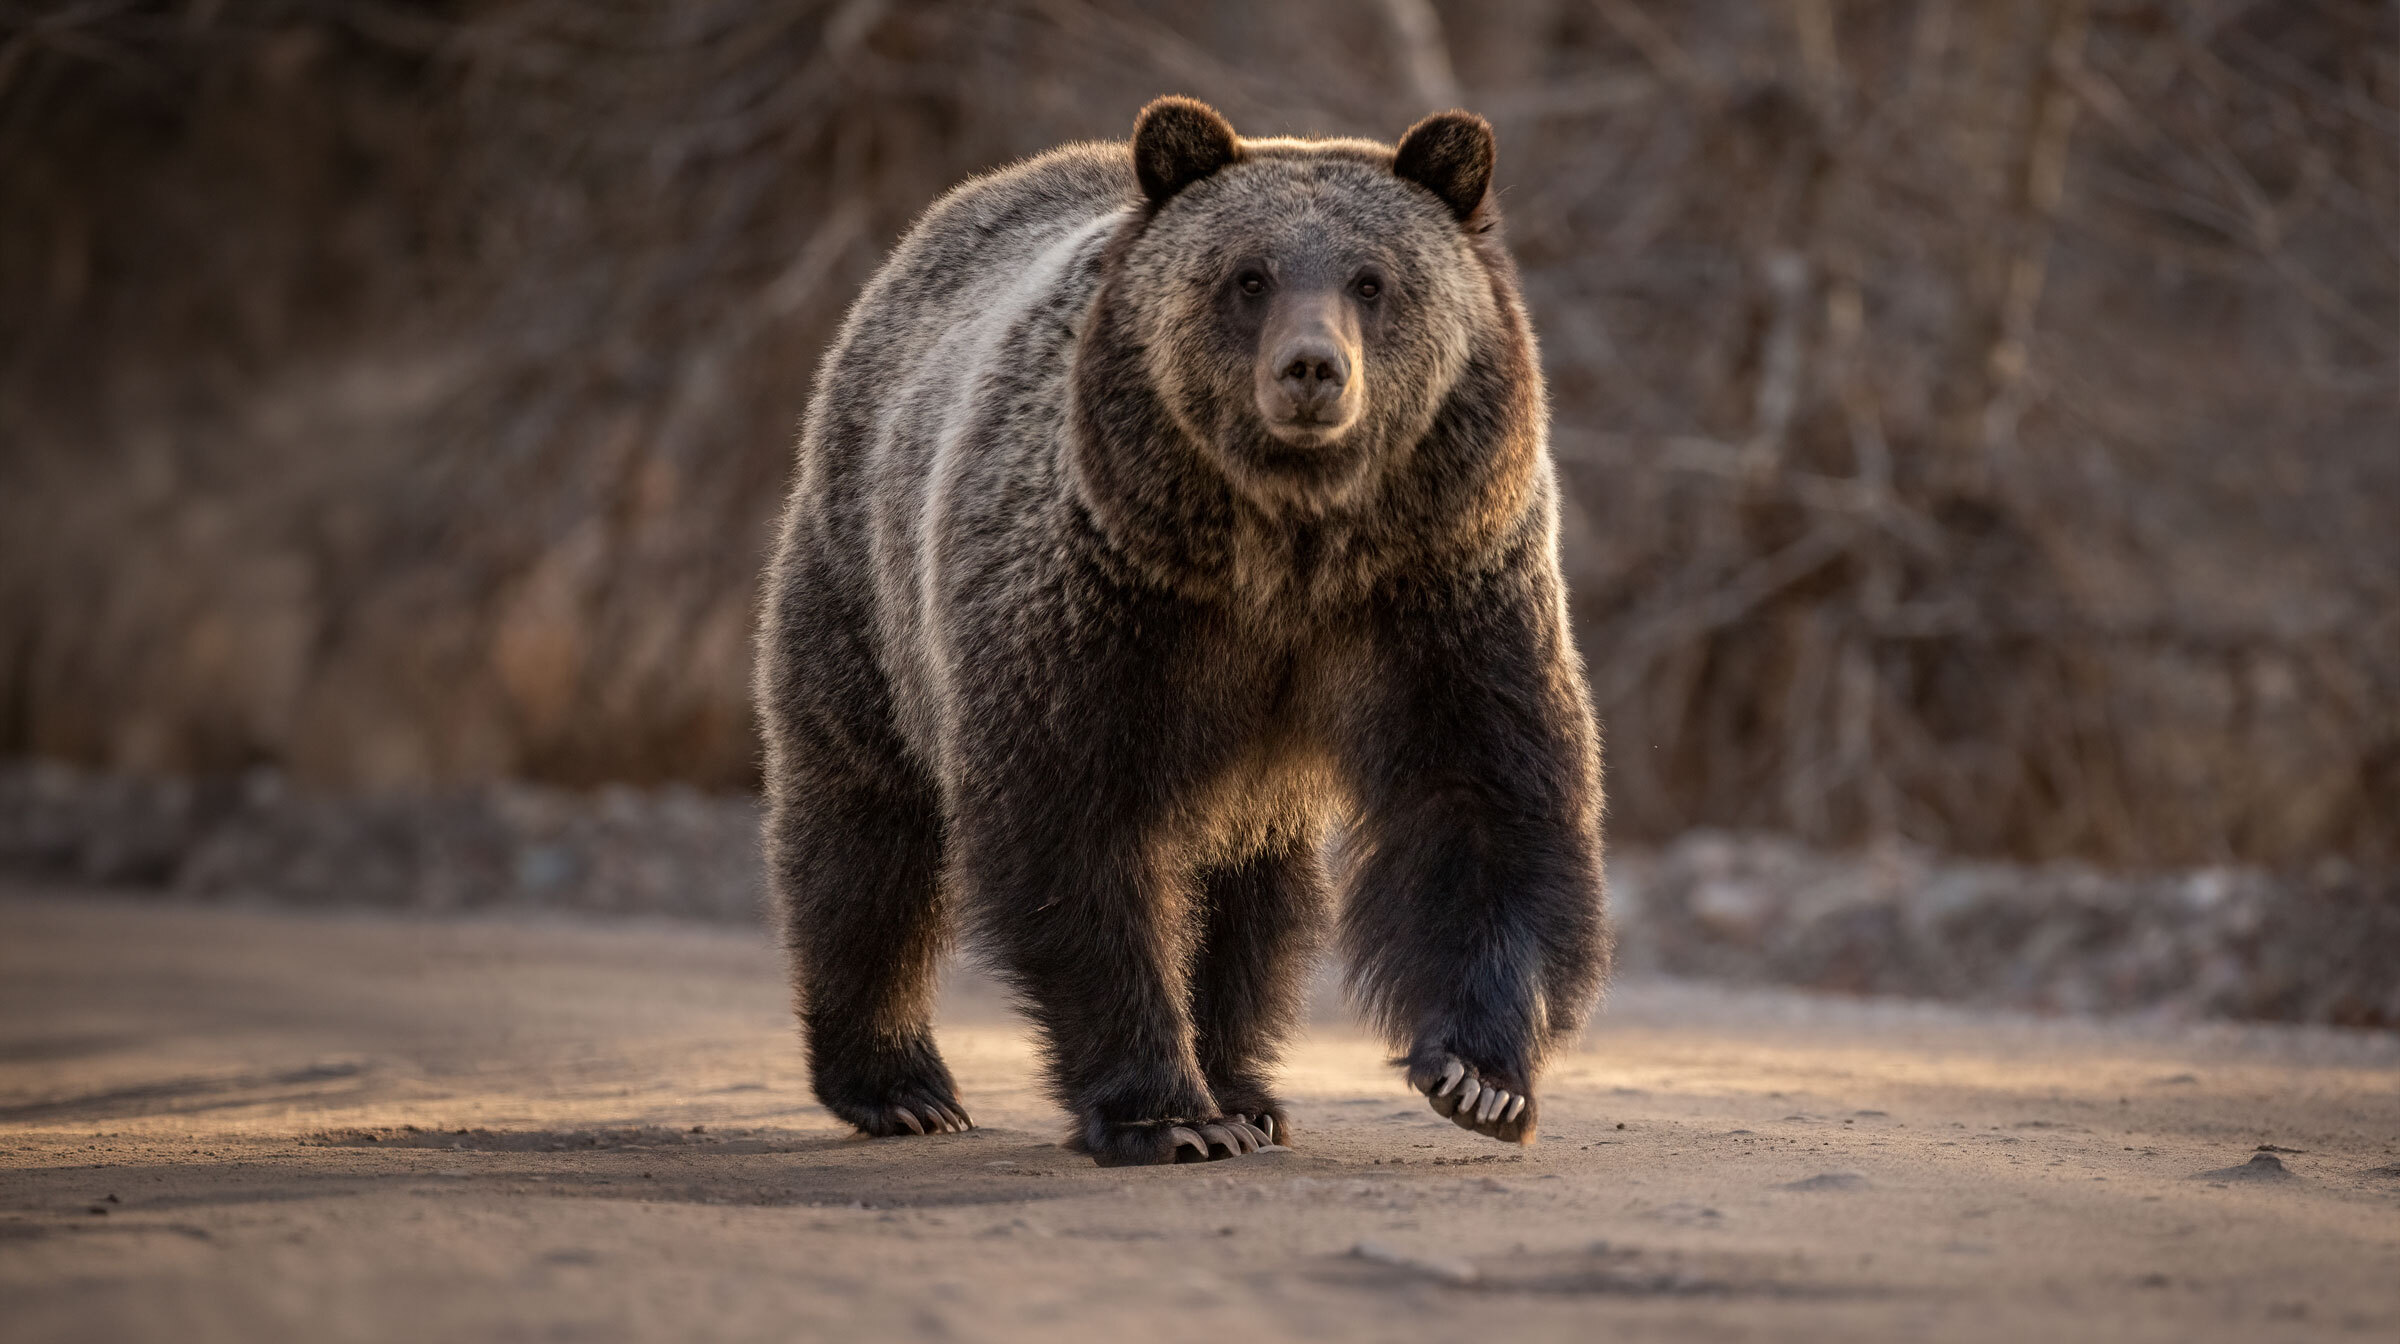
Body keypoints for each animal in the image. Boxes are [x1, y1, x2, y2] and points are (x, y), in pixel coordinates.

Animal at [755, 96, 1608, 1167]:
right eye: (1249, 276)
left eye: (1373, 280)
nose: (1312, 370)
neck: (1288, 547)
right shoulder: (1104, 601)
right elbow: (1078, 826)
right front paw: (1165, 1112)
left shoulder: (1440, 587)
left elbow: (1485, 795)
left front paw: (1478, 1078)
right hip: (866, 587)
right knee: (867, 828)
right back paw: (900, 1085)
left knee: (1256, 894)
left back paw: (1248, 1086)